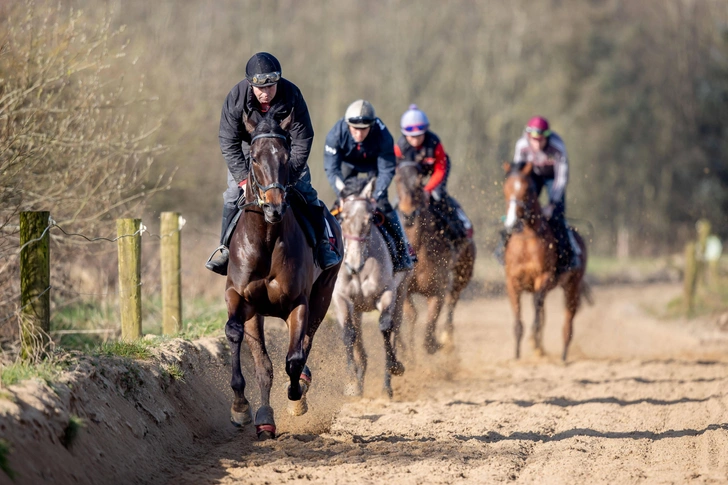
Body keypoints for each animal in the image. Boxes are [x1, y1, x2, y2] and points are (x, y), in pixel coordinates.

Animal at [223, 108, 342, 438]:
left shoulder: (298, 303)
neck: (266, 239)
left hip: (323, 295)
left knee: (307, 342)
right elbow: (248, 349)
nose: (274, 208)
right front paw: (245, 408)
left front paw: (296, 397)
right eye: (253, 158)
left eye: (287, 157)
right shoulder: (241, 299)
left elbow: (294, 358)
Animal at [332, 177, 406, 398]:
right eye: (344, 217)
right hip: (357, 309)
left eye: (368, 219)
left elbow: (385, 328)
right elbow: (348, 334)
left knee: (396, 329)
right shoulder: (341, 298)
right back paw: (359, 384)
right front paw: (350, 381)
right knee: (360, 347)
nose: (353, 264)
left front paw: (392, 372)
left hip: (402, 293)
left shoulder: (386, 293)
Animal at [396, 161, 474, 354]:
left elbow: (429, 334)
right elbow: (412, 315)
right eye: (398, 179)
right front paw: (408, 352)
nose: (408, 213)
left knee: (452, 299)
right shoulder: (404, 289)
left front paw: (436, 344)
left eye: (419, 182)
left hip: (464, 272)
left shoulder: (437, 290)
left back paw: (447, 339)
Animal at [504, 161, 588, 362]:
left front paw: (533, 340)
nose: (512, 223)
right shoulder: (512, 282)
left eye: (527, 190)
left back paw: (563, 355)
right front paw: (517, 355)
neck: (526, 239)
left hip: (572, 286)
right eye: (506, 188)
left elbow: (537, 304)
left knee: (568, 320)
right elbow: (519, 320)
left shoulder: (544, 277)